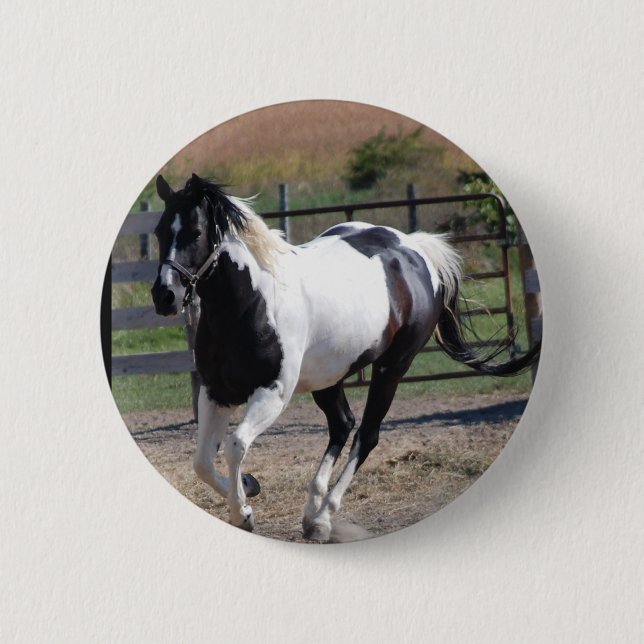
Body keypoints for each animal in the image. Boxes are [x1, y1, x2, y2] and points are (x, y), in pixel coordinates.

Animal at [151, 173, 540, 541]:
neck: (251, 302)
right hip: (329, 376)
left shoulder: (273, 393)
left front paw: (242, 514)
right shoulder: (215, 391)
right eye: (158, 232)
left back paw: (324, 518)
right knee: (342, 424)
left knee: (366, 435)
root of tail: (413, 248)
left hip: (391, 368)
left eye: (196, 232)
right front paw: (250, 487)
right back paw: (311, 513)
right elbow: (202, 462)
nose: (164, 296)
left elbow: (234, 446)